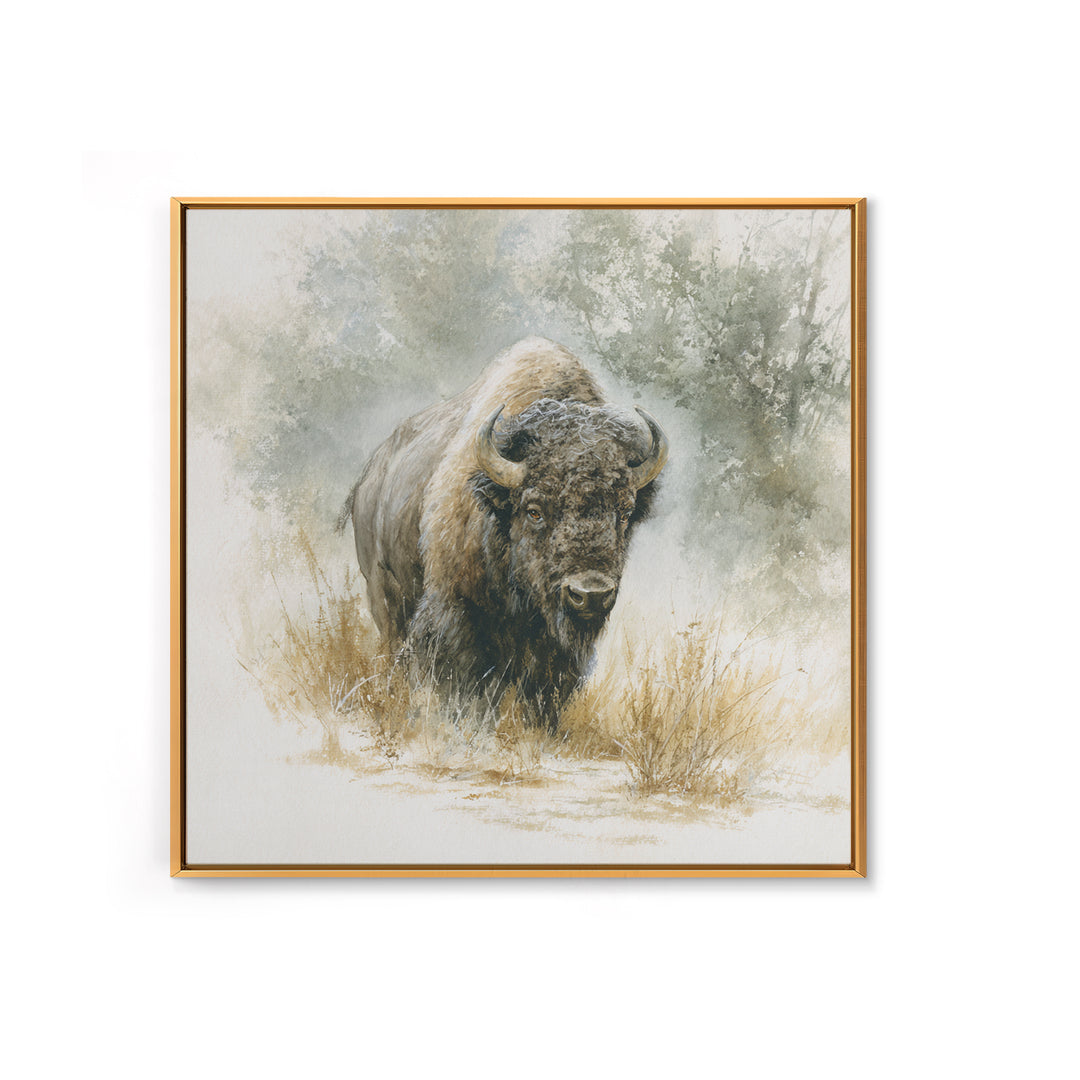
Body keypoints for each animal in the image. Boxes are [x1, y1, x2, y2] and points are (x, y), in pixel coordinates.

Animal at [339, 337, 668, 727]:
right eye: (535, 510)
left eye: (625, 512)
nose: (590, 595)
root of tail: (367, 478)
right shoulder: (456, 615)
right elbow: (466, 687)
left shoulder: (554, 651)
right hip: (385, 597)